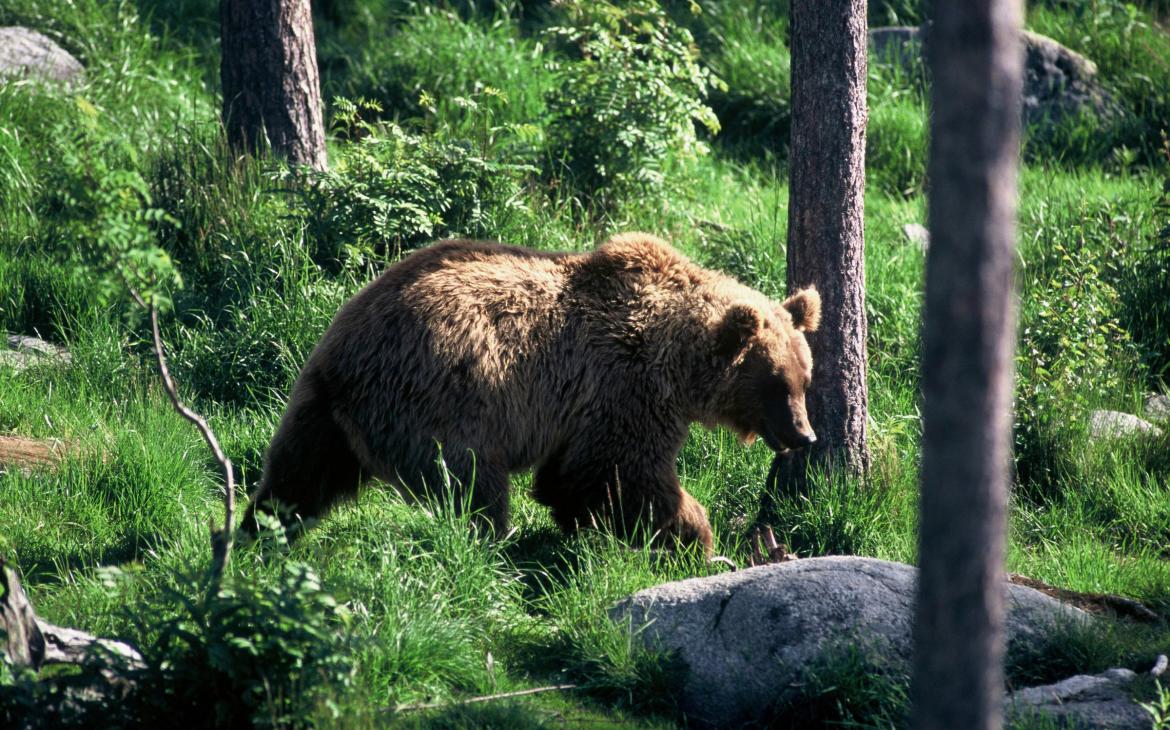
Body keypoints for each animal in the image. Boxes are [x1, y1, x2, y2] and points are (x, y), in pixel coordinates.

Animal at [242, 230, 819, 549]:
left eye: (803, 379)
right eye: (776, 384)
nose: (805, 435)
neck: (680, 364)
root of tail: (345, 358)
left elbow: (573, 478)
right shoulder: (625, 386)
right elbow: (620, 472)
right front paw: (693, 533)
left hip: (317, 409)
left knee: (298, 476)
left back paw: (257, 532)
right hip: (441, 401)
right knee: (472, 487)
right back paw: (490, 548)